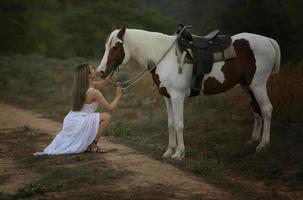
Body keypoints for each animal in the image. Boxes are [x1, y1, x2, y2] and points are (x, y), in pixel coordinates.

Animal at [97, 27, 280, 161]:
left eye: (115, 46)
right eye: (106, 46)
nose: (100, 72)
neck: (165, 57)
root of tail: (268, 40)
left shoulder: (177, 97)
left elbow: (179, 124)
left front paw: (179, 154)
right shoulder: (167, 97)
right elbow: (171, 123)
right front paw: (169, 151)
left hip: (258, 84)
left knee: (266, 109)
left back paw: (263, 145)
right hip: (246, 86)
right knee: (256, 110)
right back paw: (252, 141)